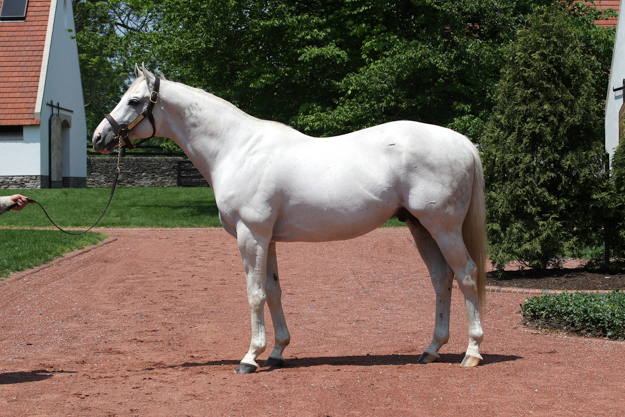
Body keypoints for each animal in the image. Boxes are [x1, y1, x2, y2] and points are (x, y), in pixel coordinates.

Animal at [94, 66, 488, 374]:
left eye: (133, 101)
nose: (100, 137)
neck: (238, 149)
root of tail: (463, 143)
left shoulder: (250, 234)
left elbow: (254, 294)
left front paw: (250, 357)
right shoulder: (265, 238)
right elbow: (272, 291)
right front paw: (277, 352)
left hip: (443, 227)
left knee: (466, 274)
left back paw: (472, 352)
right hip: (420, 227)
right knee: (441, 280)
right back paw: (431, 349)